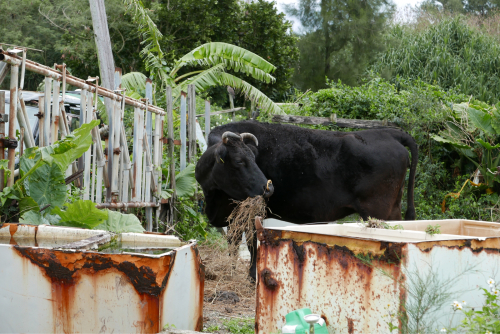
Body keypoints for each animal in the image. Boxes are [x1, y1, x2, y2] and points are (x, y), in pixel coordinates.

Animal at [195, 120, 418, 280]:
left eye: (253, 158)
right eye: (240, 161)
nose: (268, 188)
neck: (214, 199)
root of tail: (389, 133)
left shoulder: (251, 211)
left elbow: (251, 243)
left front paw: (251, 276)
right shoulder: (233, 215)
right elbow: (233, 242)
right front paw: (232, 269)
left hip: (378, 210)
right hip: (392, 209)